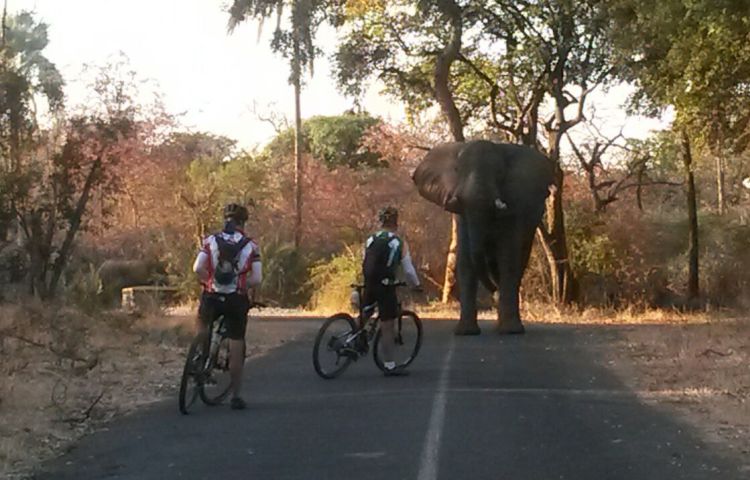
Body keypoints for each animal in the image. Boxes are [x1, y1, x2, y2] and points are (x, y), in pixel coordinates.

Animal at [412, 139, 560, 334]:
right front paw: (465, 333)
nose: (493, 291)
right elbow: (466, 261)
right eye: (457, 171)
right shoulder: (462, 215)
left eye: (499, 173)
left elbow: (508, 258)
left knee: (517, 263)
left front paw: (510, 331)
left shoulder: (514, 206)